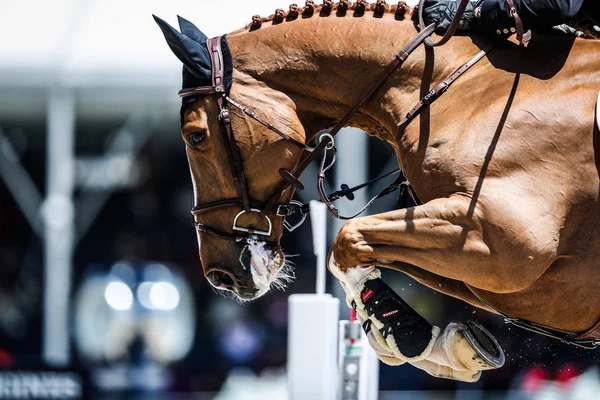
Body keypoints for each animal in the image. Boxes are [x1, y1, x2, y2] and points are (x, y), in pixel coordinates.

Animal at [156, 1, 600, 382]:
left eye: (195, 136)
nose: (220, 276)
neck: (461, 90)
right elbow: (364, 251)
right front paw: (441, 348)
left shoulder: (502, 240)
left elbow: (347, 241)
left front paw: (409, 338)